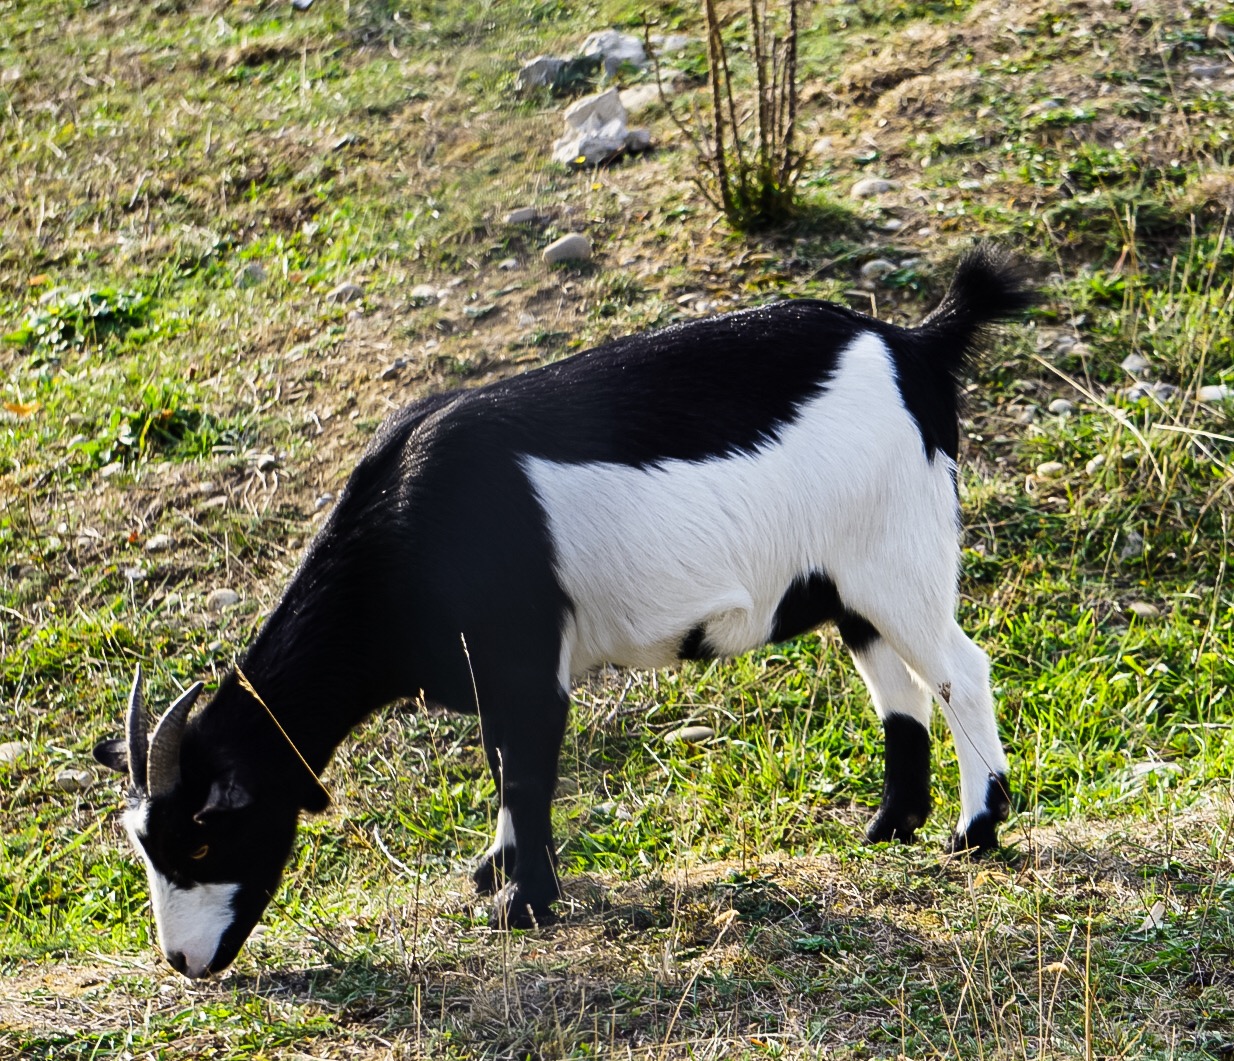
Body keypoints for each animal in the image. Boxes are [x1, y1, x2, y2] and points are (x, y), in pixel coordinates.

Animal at [91, 249, 1026, 977]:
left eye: (203, 838)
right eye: (145, 844)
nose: (183, 961)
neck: (411, 524)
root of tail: (915, 345)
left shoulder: (524, 657)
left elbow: (526, 766)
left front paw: (523, 903)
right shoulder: (489, 671)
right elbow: (502, 761)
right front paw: (495, 869)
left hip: (898, 553)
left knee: (958, 670)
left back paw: (975, 829)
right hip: (848, 580)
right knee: (896, 686)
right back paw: (891, 825)